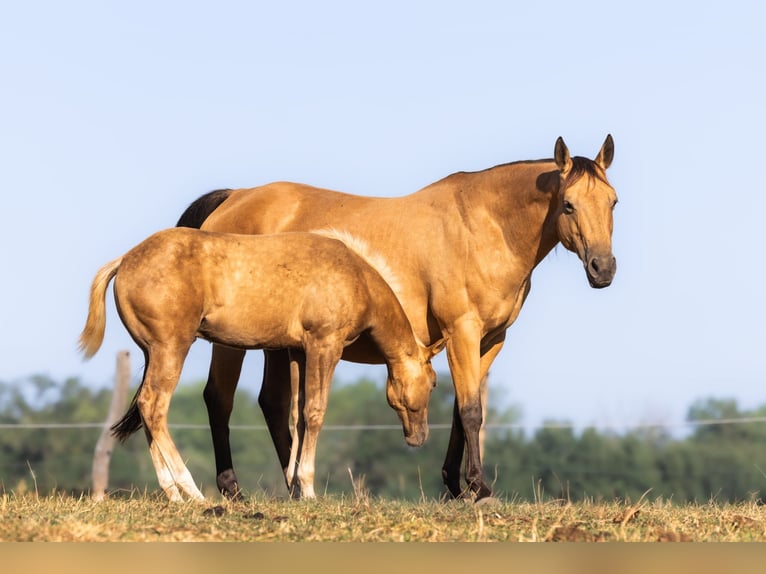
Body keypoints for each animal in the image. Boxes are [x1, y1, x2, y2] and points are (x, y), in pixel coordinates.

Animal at [78, 228, 442, 501]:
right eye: (435, 382)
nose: (419, 437)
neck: (356, 275)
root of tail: (125, 260)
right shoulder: (325, 345)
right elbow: (315, 411)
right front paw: (308, 488)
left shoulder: (297, 352)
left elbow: (297, 415)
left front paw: (296, 485)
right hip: (171, 348)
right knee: (154, 406)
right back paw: (192, 491)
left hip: (150, 352)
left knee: (146, 409)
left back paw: (174, 494)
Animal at [177, 135, 618, 502]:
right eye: (568, 204)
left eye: (613, 202)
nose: (603, 269)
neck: (481, 228)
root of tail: (234, 197)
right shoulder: (461, 331)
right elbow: (472, 410)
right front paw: (479, 487)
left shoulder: (490, 340)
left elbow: (461, 409)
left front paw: (456, 486)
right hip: (232, 342)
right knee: (219, 399)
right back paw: (233, 489)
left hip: (278, 343)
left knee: (272, 402)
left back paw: (291, 484)